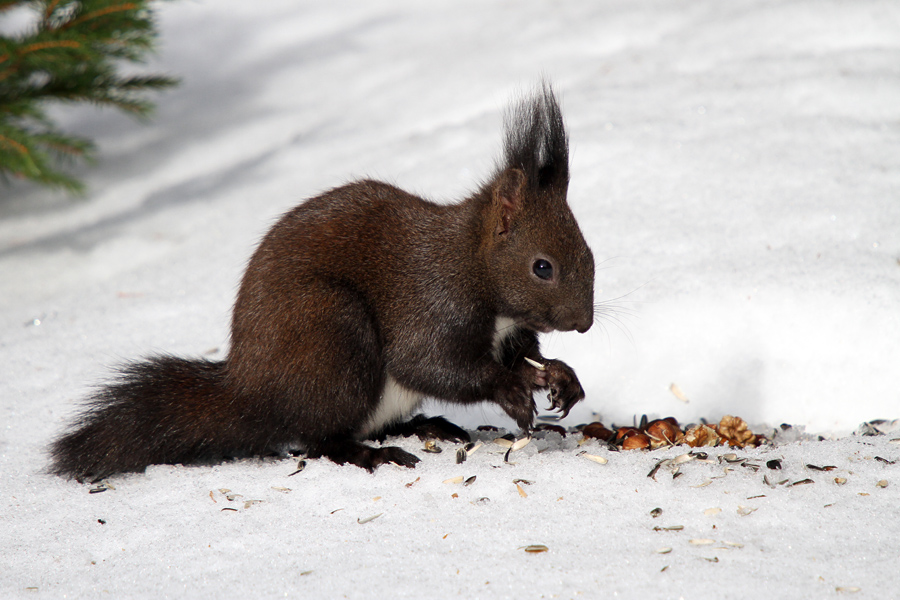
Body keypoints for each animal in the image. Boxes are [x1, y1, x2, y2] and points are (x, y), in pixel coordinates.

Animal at [51, 84, 596, 480]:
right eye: (542, 266)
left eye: (589, 252)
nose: (585, 324)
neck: (474, 268)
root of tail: (252, 391)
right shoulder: (432, 301)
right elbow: (428, 362)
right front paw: (512, 387)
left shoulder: (508, 330)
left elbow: (522, 355)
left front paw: (560, 376)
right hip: (332, 336)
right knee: (319, 438)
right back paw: (372, 454)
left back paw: (428, 425)